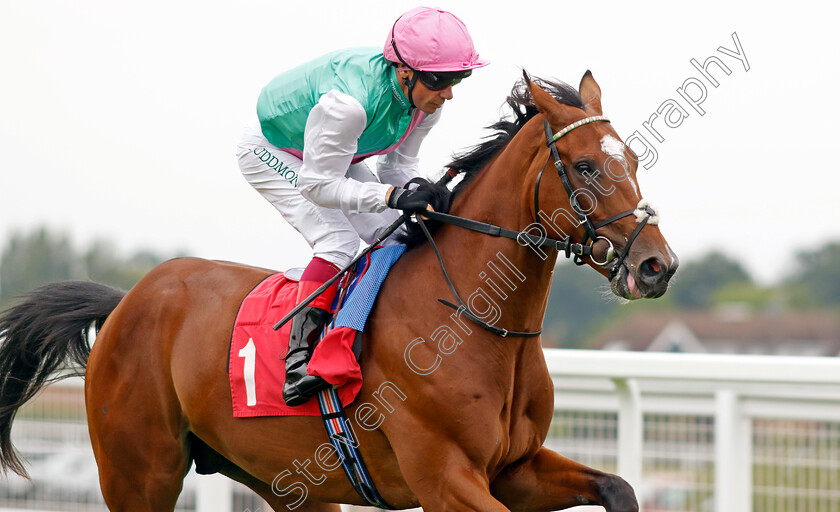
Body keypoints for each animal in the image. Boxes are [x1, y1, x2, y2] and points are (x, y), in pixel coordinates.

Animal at [0, 73, 676, 512]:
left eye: (634, 159)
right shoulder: (445, 476)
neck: (478, 324)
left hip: (290, 484)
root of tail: (126, 301)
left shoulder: (515, 468)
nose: (656, 267)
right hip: (138, 471)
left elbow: (619, 488)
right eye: (585, 167)